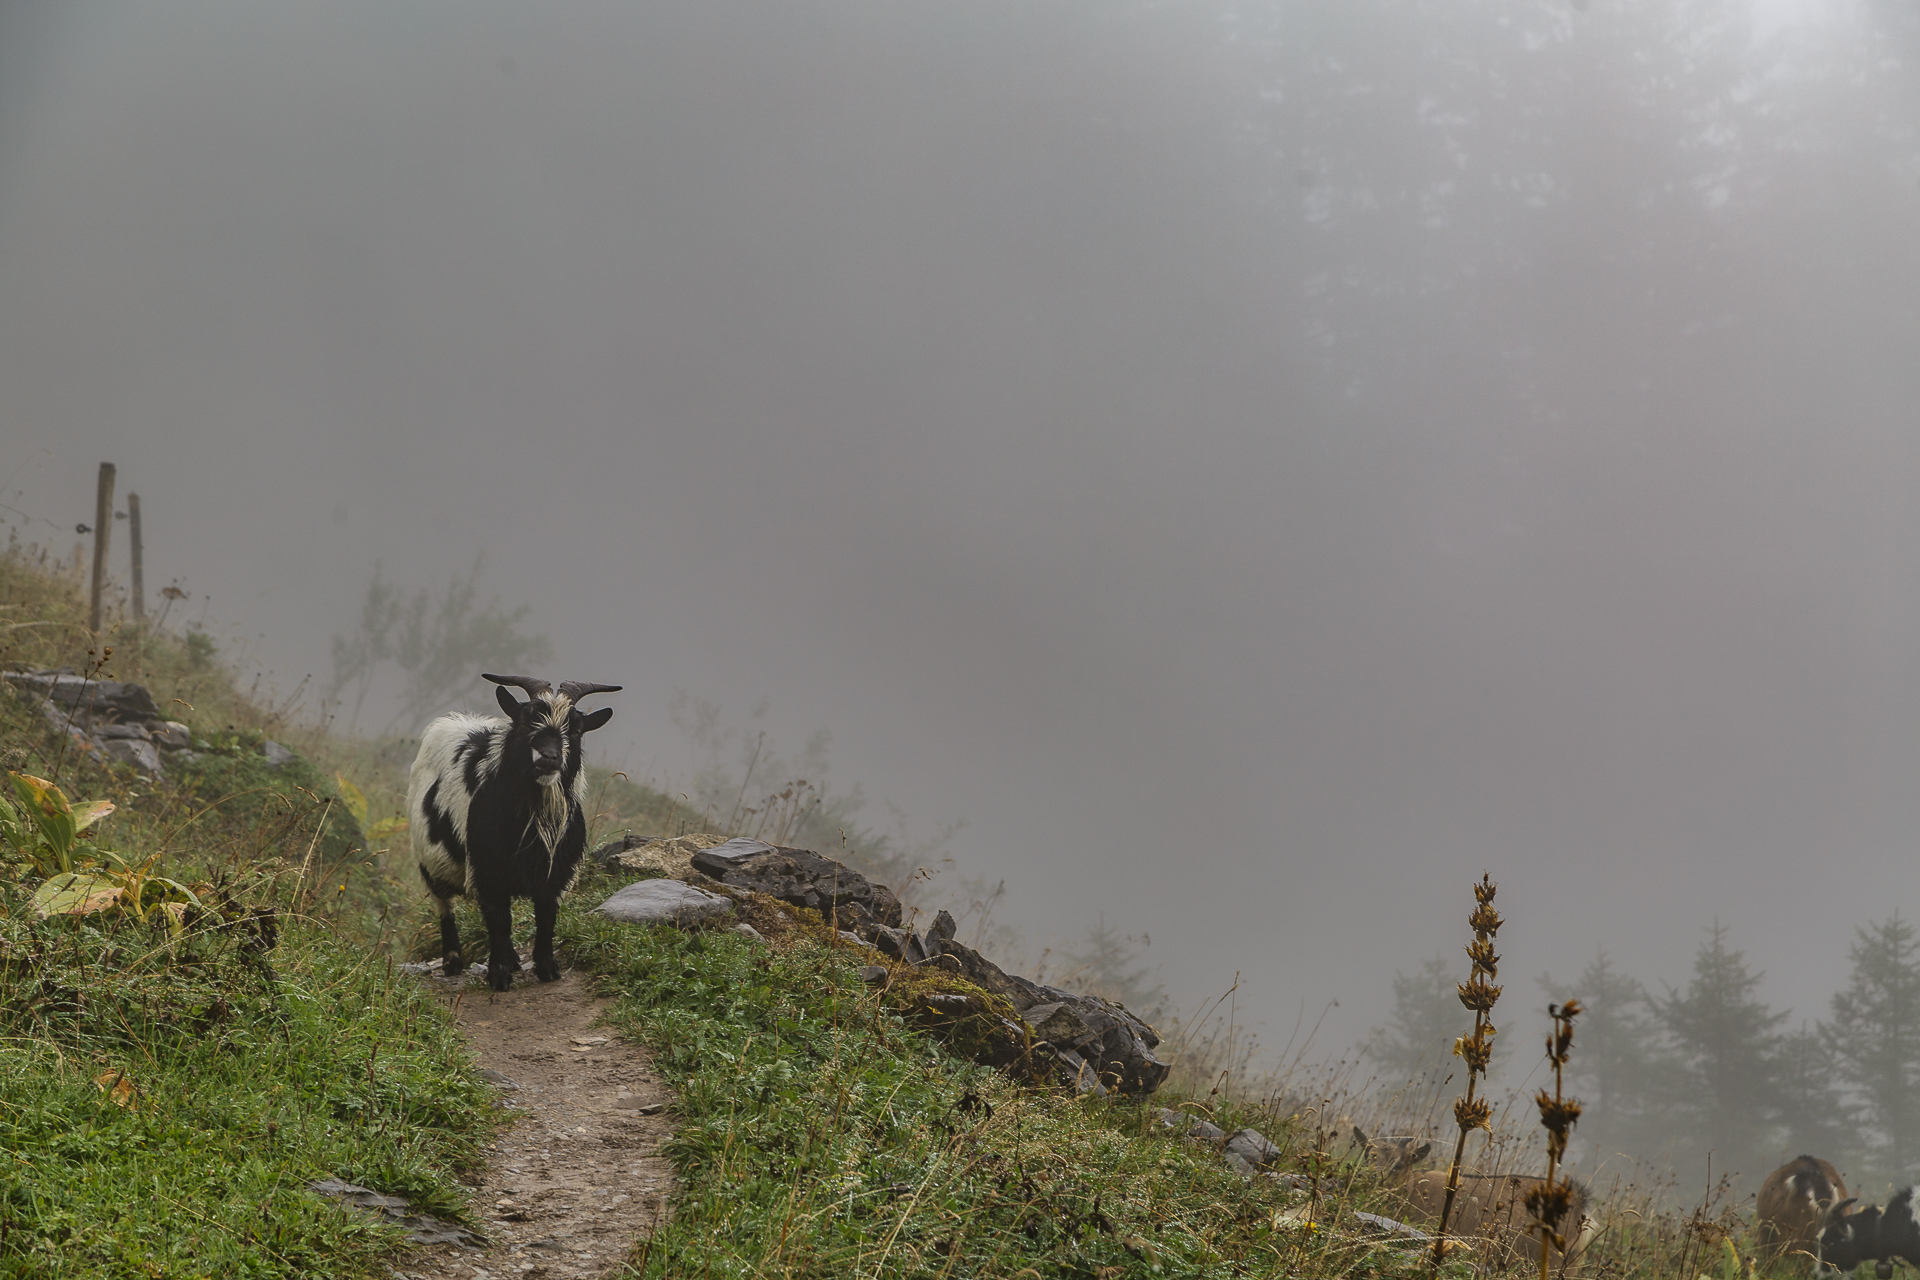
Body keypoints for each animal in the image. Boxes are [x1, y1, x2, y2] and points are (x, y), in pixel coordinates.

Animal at [409, 673, 620, 991]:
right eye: (524, 721)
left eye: (576, 729)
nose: (548, 757)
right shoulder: (488, 870)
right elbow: (499, 921)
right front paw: (499, 975)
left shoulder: (554, 873)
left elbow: (545, 917)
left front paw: (547, 968)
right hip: (429, 863)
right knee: (445, 906)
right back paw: (452, 961)